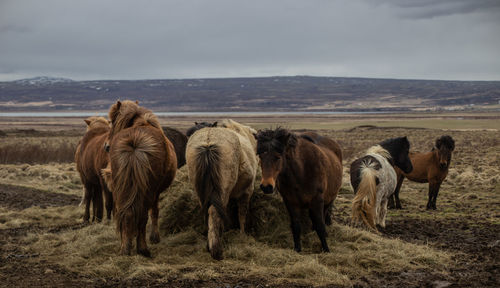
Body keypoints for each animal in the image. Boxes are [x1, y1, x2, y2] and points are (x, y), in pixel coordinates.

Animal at [100, 100, 177, 256]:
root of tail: (134, 142)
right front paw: (154, 237)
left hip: (120, 189)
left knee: (124, 214)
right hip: (148, 190)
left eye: (112, 122)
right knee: (142, 216)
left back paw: (125, 247)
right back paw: (142, 248)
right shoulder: (156, 192)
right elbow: (154, 212)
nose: (106, 146)